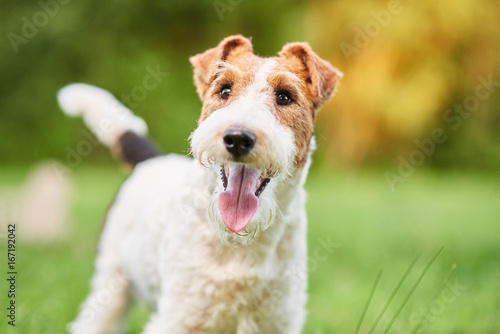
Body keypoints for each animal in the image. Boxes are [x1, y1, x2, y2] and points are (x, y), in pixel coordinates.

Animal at [57, 35, 340, 332]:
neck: (240, 241)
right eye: (225, 90)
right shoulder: (179, 317)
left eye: (285, 96)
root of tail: (150, 160)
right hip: (112, 281)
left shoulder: (279, 320)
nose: (238, 138)